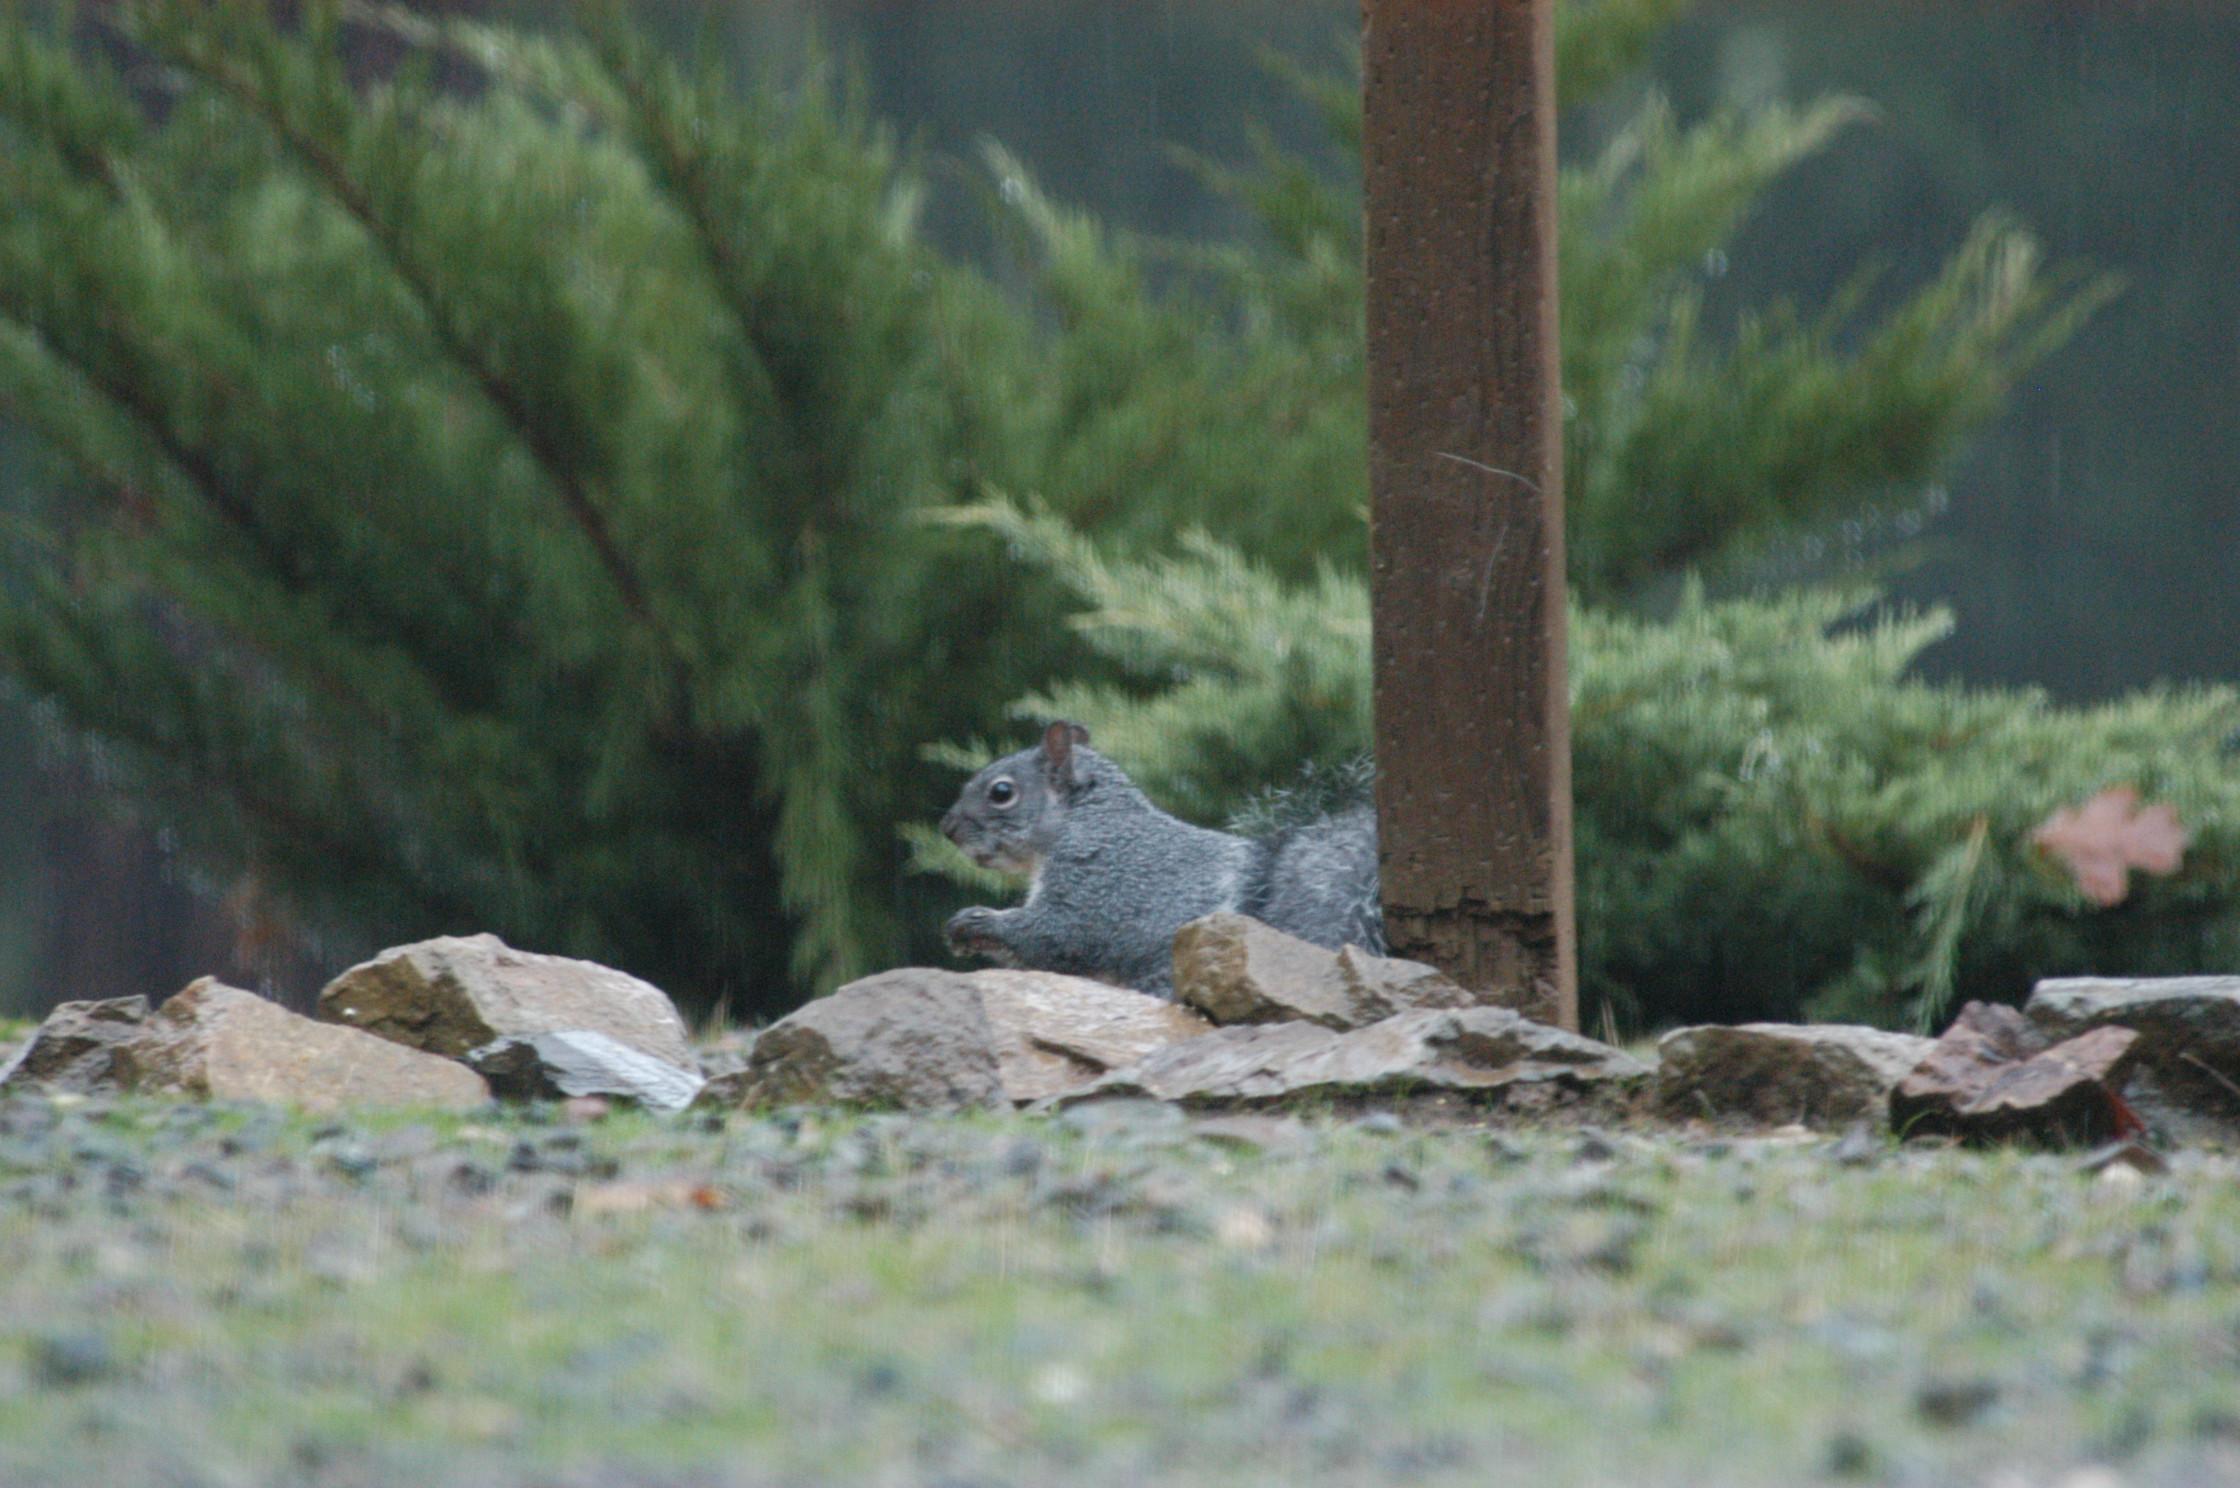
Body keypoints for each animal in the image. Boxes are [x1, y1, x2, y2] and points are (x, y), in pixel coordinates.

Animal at [939, 721, 1383, 997]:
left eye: (1001, 792)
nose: (947, 828)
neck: (1085, 820)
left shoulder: (1100, 880)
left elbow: (1056, 934)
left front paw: (976, 922)